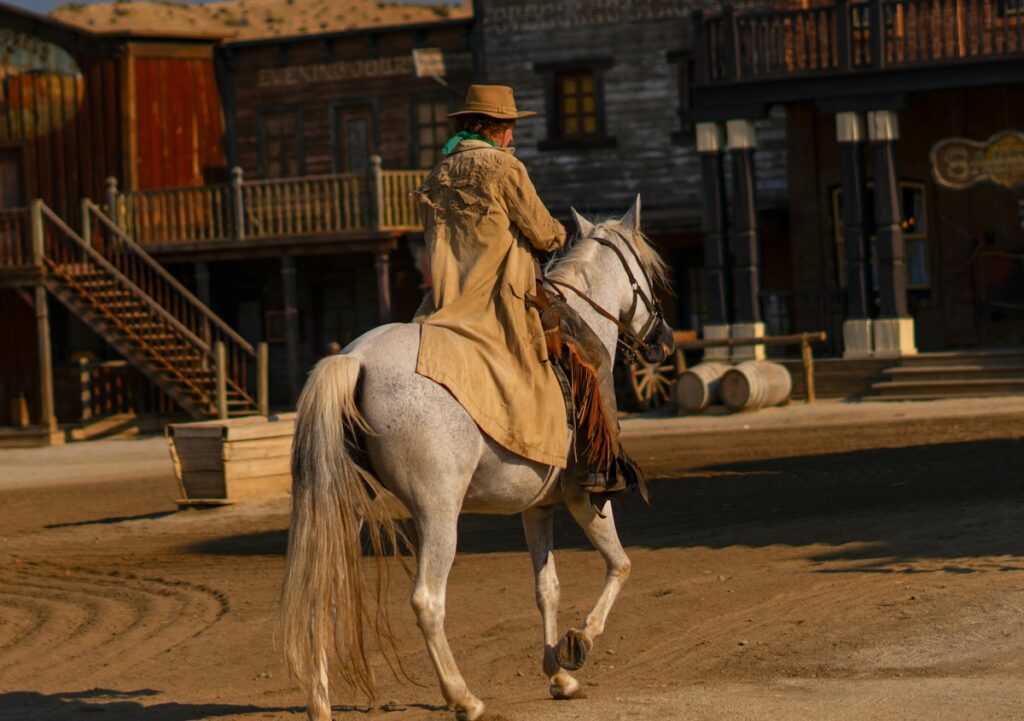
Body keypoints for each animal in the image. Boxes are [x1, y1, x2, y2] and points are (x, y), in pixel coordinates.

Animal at [284, 198, 675, 721]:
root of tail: (355, 360)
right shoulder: (584, 497)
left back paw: (320, 703)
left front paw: (558, 675)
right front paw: (579, 643)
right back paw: (463, 697)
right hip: (438, 514)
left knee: (323, 593)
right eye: (650, 275)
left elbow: (546, 587)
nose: (664, 339)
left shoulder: (538, 508)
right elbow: (620, 564)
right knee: (427, 601)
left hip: (347, 508)